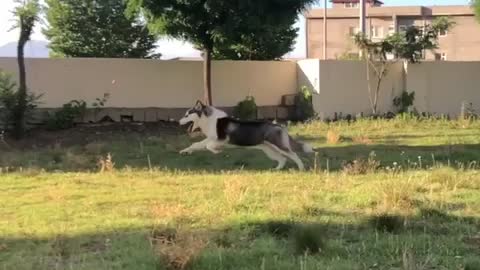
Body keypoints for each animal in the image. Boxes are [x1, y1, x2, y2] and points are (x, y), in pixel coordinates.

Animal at [178, 100, 314, 170]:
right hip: (269, 150)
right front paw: (185, 151)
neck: (209, 119)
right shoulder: (210, 138)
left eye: (187, 115)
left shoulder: (222, 139)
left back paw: (301, 168)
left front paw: (217, 151)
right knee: (283, 159)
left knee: (293, 154)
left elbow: (209, 146)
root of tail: (278, 126)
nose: (178, 122)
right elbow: (196, 144)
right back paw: (277, 170)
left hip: (278, 146)